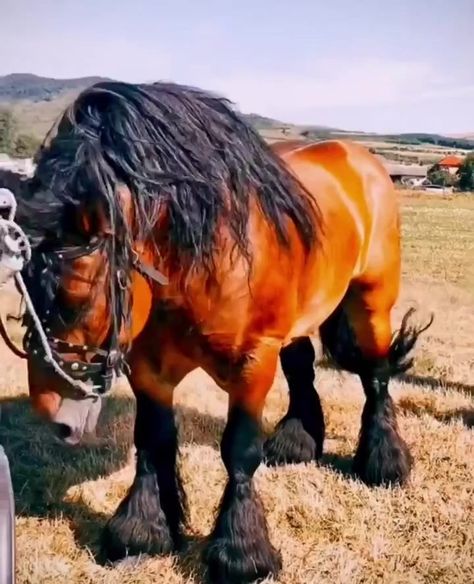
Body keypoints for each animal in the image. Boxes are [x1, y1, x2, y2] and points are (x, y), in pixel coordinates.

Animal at [13, 82, 430, 584]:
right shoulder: (149, 370)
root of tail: (359, 156)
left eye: (74, 296)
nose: (52, 417)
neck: (202, 261)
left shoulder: (253, 364)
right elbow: (152, 441)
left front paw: (241, 556)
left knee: (376, 374)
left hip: (372, 302)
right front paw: (142, 535)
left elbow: (239, 451)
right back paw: (297, 442)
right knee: (303, 370)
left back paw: (384, 463)